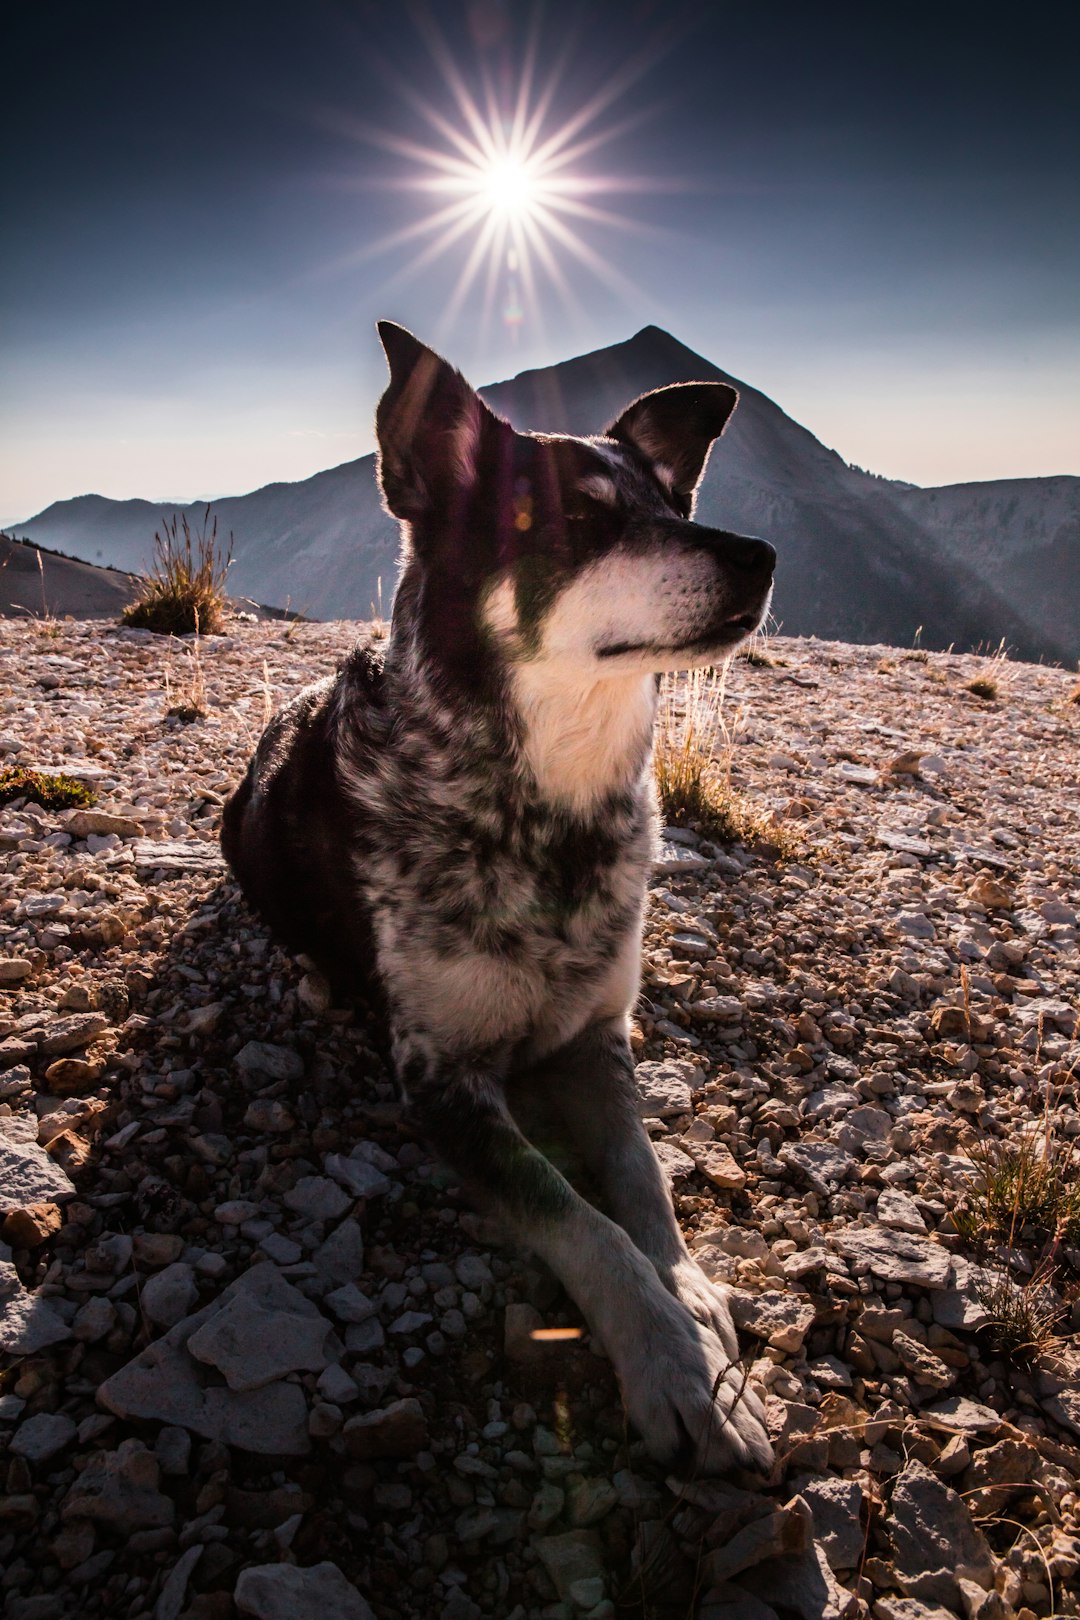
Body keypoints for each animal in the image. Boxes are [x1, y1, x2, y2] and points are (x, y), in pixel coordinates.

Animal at [221, 322, 777, 1477]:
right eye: (584, 520)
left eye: (675, 509)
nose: (761, 554)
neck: (546, 807)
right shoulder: (441, 1080)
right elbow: (579, 1218)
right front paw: (671, 1365)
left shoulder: (600, 1036)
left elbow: (643, 1179)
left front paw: (697, 1300)